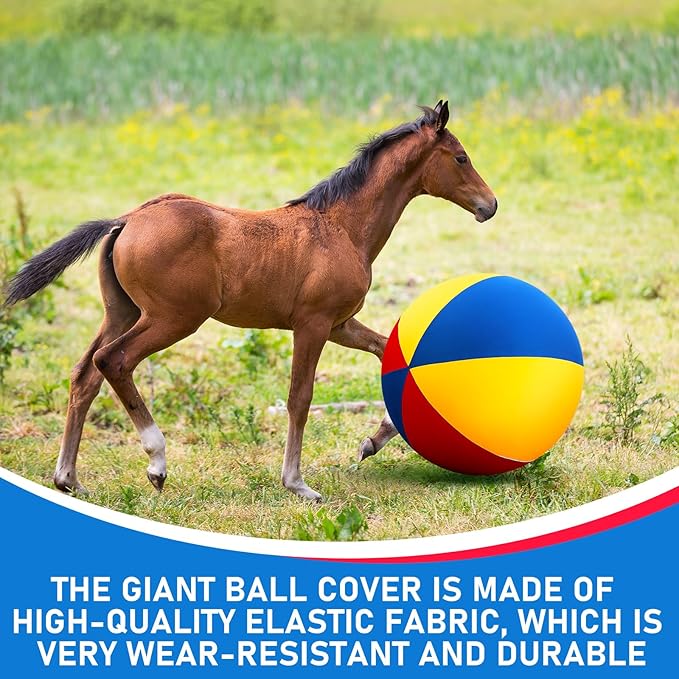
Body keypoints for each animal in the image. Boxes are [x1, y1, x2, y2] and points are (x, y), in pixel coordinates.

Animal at [5, 100, 497, 501]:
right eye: (461, 157)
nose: (489, 205)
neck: (340, 226)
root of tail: (127, 219)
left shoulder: (340, 324)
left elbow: (387, 354)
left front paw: (370, 443)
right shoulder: (313, 324)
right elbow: (300, 397)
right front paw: (297, 484)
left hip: (123, 312)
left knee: (84, 374)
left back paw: (68, 479)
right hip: (173, 318)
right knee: (113, 361)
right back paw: (156, 461)